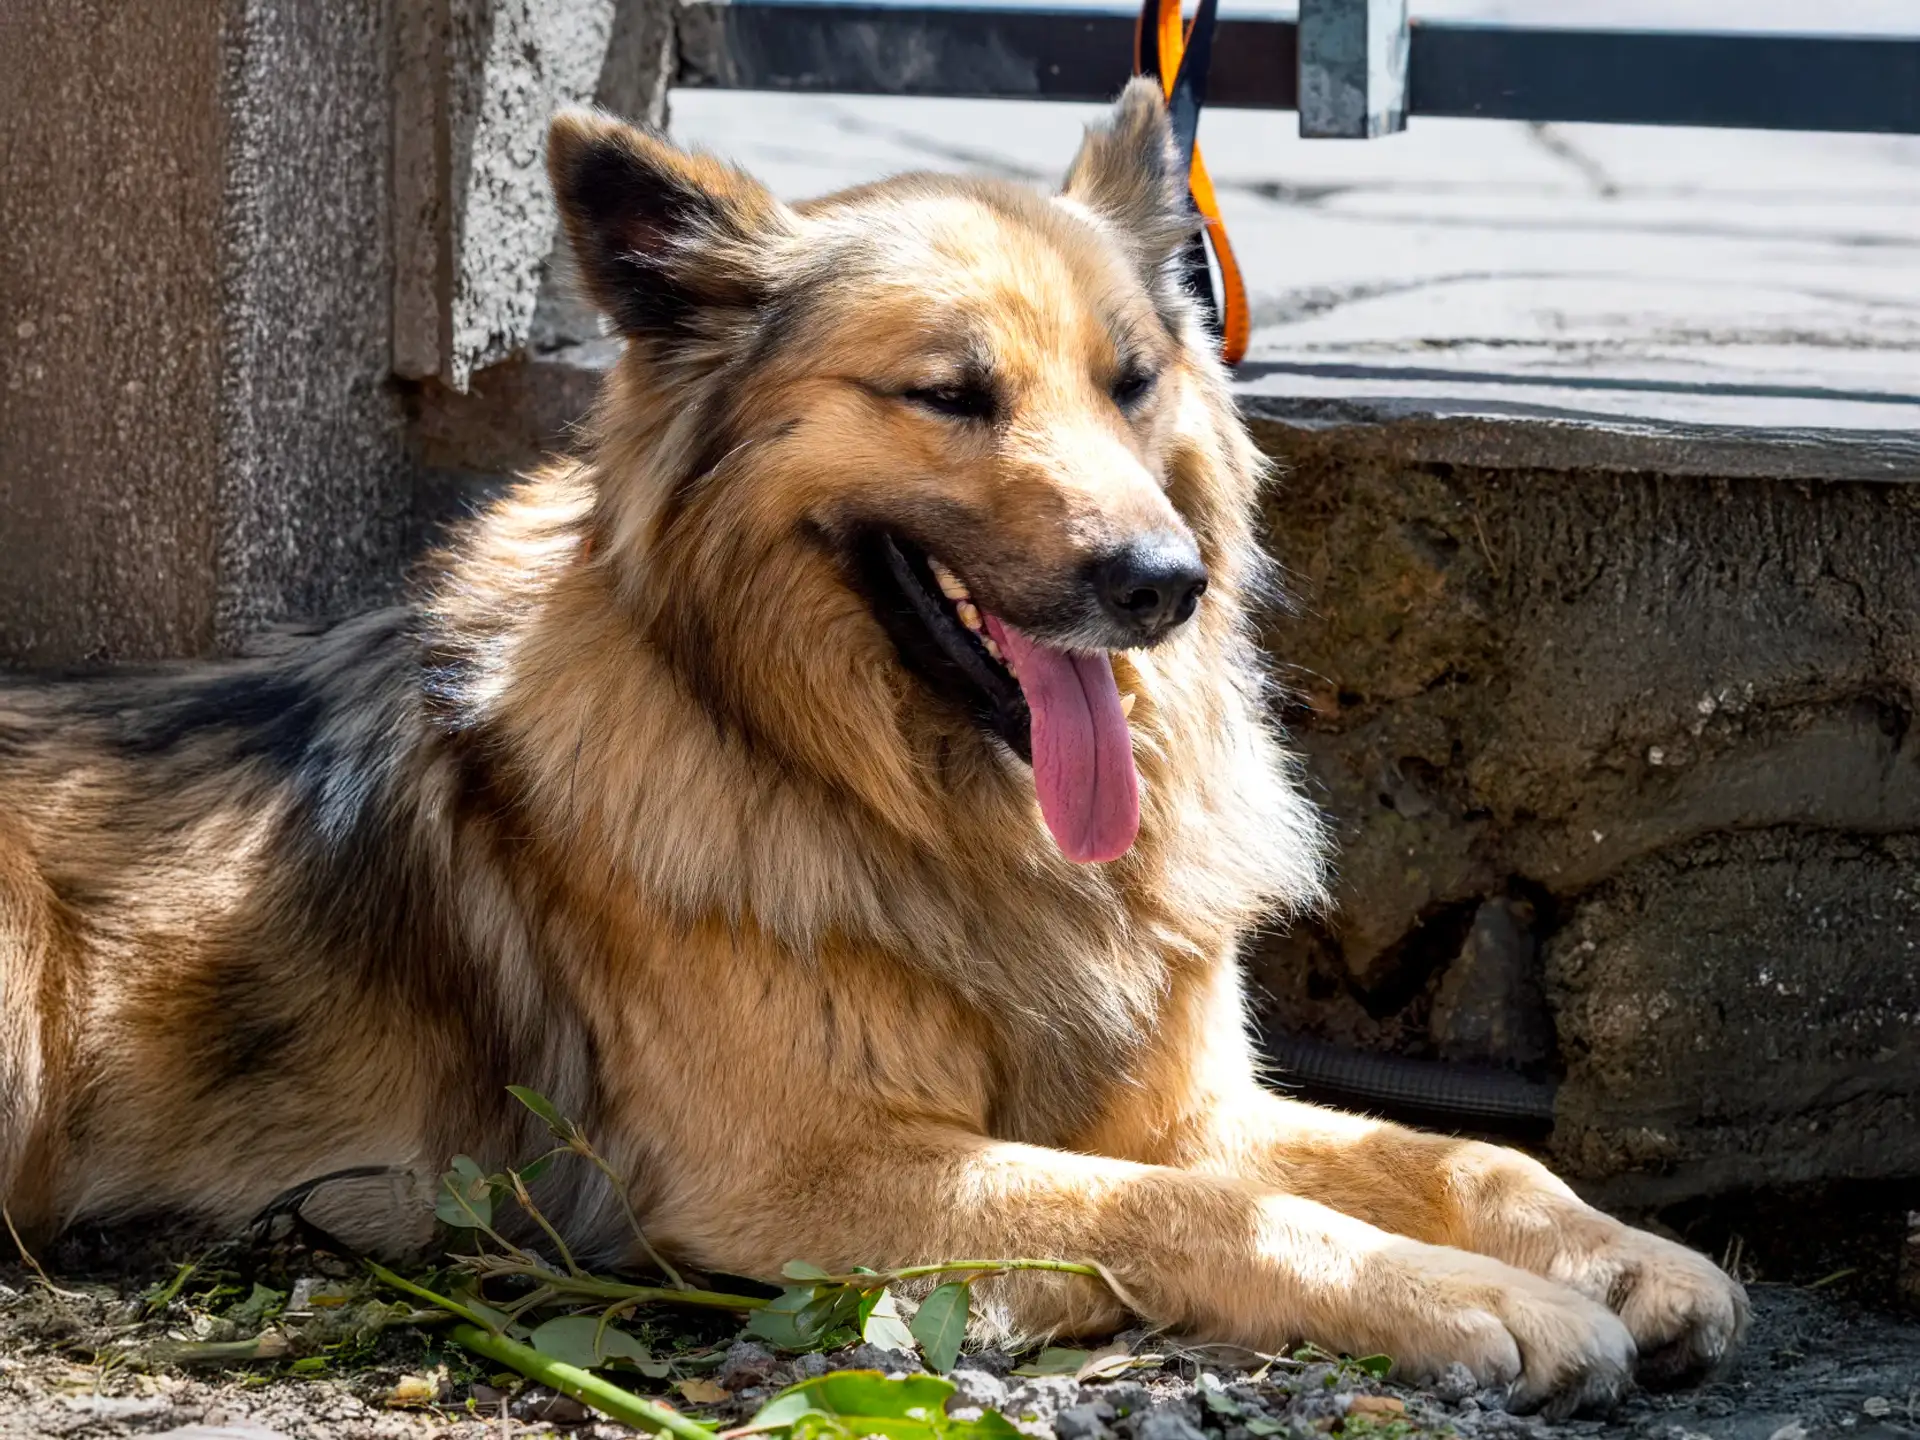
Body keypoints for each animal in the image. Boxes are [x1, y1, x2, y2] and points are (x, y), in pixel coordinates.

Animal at [0, 81, 1743, 1420]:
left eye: (1134, 381)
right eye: (950, 394)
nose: (1163, 584)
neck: (911, 803)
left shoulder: (1177, 1101)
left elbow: (1460, 1156)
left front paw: (1627, 1257)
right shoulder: (804, 1171)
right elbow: (1207, 1207)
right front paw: (1477, 1302)